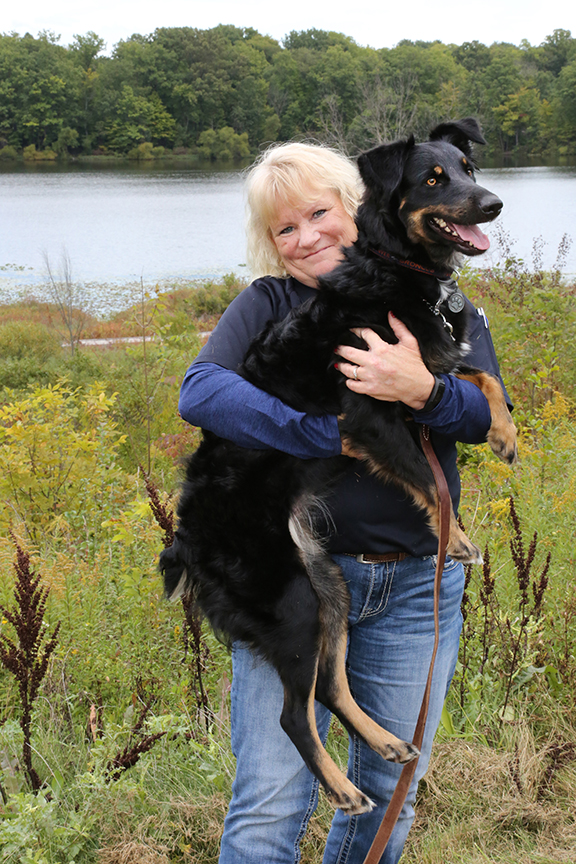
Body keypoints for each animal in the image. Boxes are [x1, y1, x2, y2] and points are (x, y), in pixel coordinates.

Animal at [161, 118, 516, 812]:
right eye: (433, 179)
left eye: (467, 167)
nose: (492, 203)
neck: (397, 266)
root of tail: (184, 540)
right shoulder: (370, 412)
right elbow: (430, 483)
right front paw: (457, 538)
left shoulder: (423, 373)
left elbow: (479, 375)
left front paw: (505, 433)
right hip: (294, 605)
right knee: (294, 715)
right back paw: (346, 789)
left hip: (329, 588)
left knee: (329, 686)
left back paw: (385, 743)